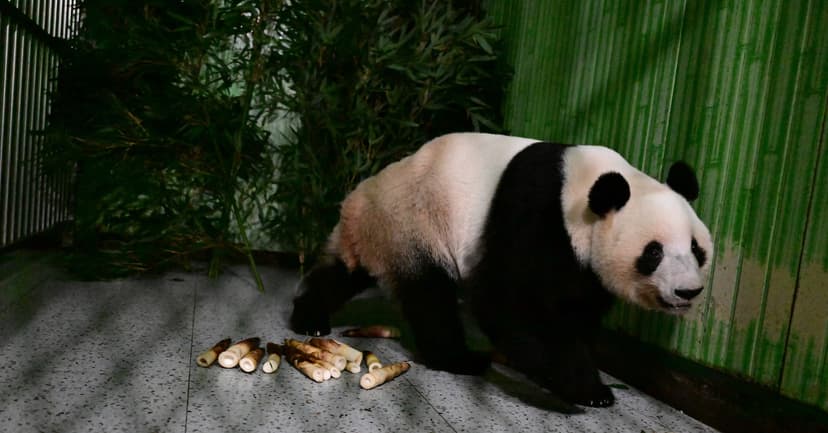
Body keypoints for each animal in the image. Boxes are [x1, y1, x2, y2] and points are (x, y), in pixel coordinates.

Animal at [290, 132, 713, 407]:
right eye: (653, 252)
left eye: (697, 249)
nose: (688, 291)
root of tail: (359, 198)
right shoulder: (536, 212)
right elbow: (506, 300)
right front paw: (582, 386)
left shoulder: (584, 267)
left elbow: (576, 309)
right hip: (413, 223)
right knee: (430, 297)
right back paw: (459, 358)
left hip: (381, 233)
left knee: (342, 273)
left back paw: (309, 317)